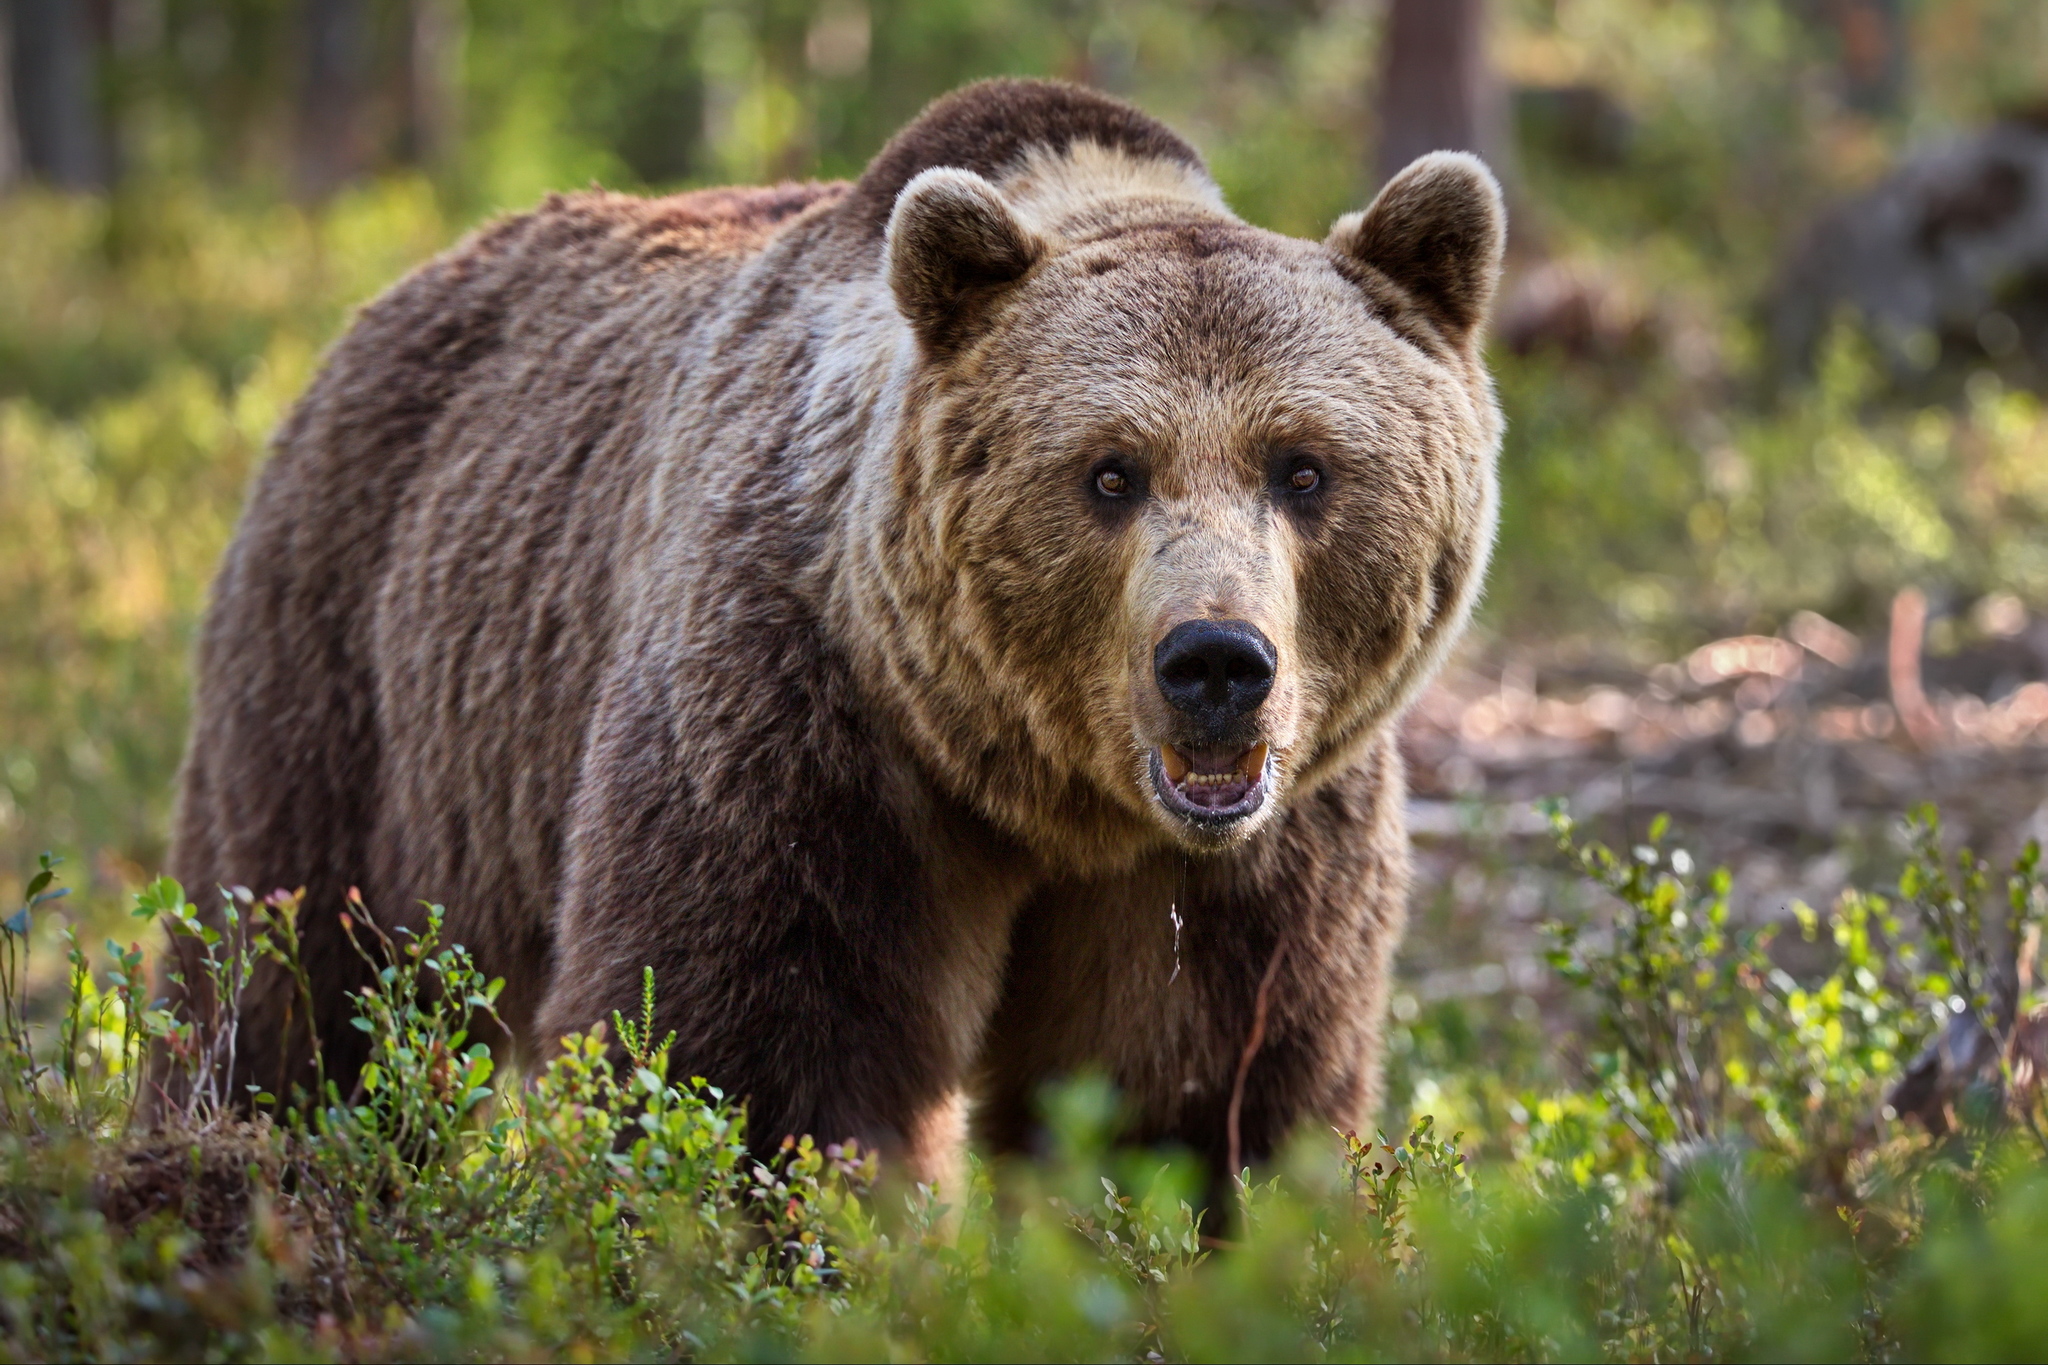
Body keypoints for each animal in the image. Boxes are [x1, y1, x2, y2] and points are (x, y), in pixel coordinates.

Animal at [167, 80, 1507, 1186]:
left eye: (1303, 467)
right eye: (1109, 473)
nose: (1215, 662)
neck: (1049, 794)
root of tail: (398, 290)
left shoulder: (1250, 858)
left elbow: (1197, 1095)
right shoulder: (807, 728)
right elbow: (751, 1059)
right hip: (357, 665)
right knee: (289, 965)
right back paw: (235, 1149)